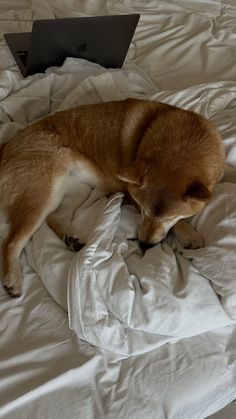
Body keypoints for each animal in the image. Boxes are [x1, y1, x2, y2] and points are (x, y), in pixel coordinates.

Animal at [0, 99, 225, 296]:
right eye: (143, 212)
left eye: (167, 218)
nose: (144, 245)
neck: (184, 142)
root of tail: (8, 143)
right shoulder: (131, 193)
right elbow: (180, 223)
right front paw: (188, 233)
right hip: (44, 193)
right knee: (11, 242)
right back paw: (13, 279)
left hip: (76, 190)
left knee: (53, 217)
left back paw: (72, 239)